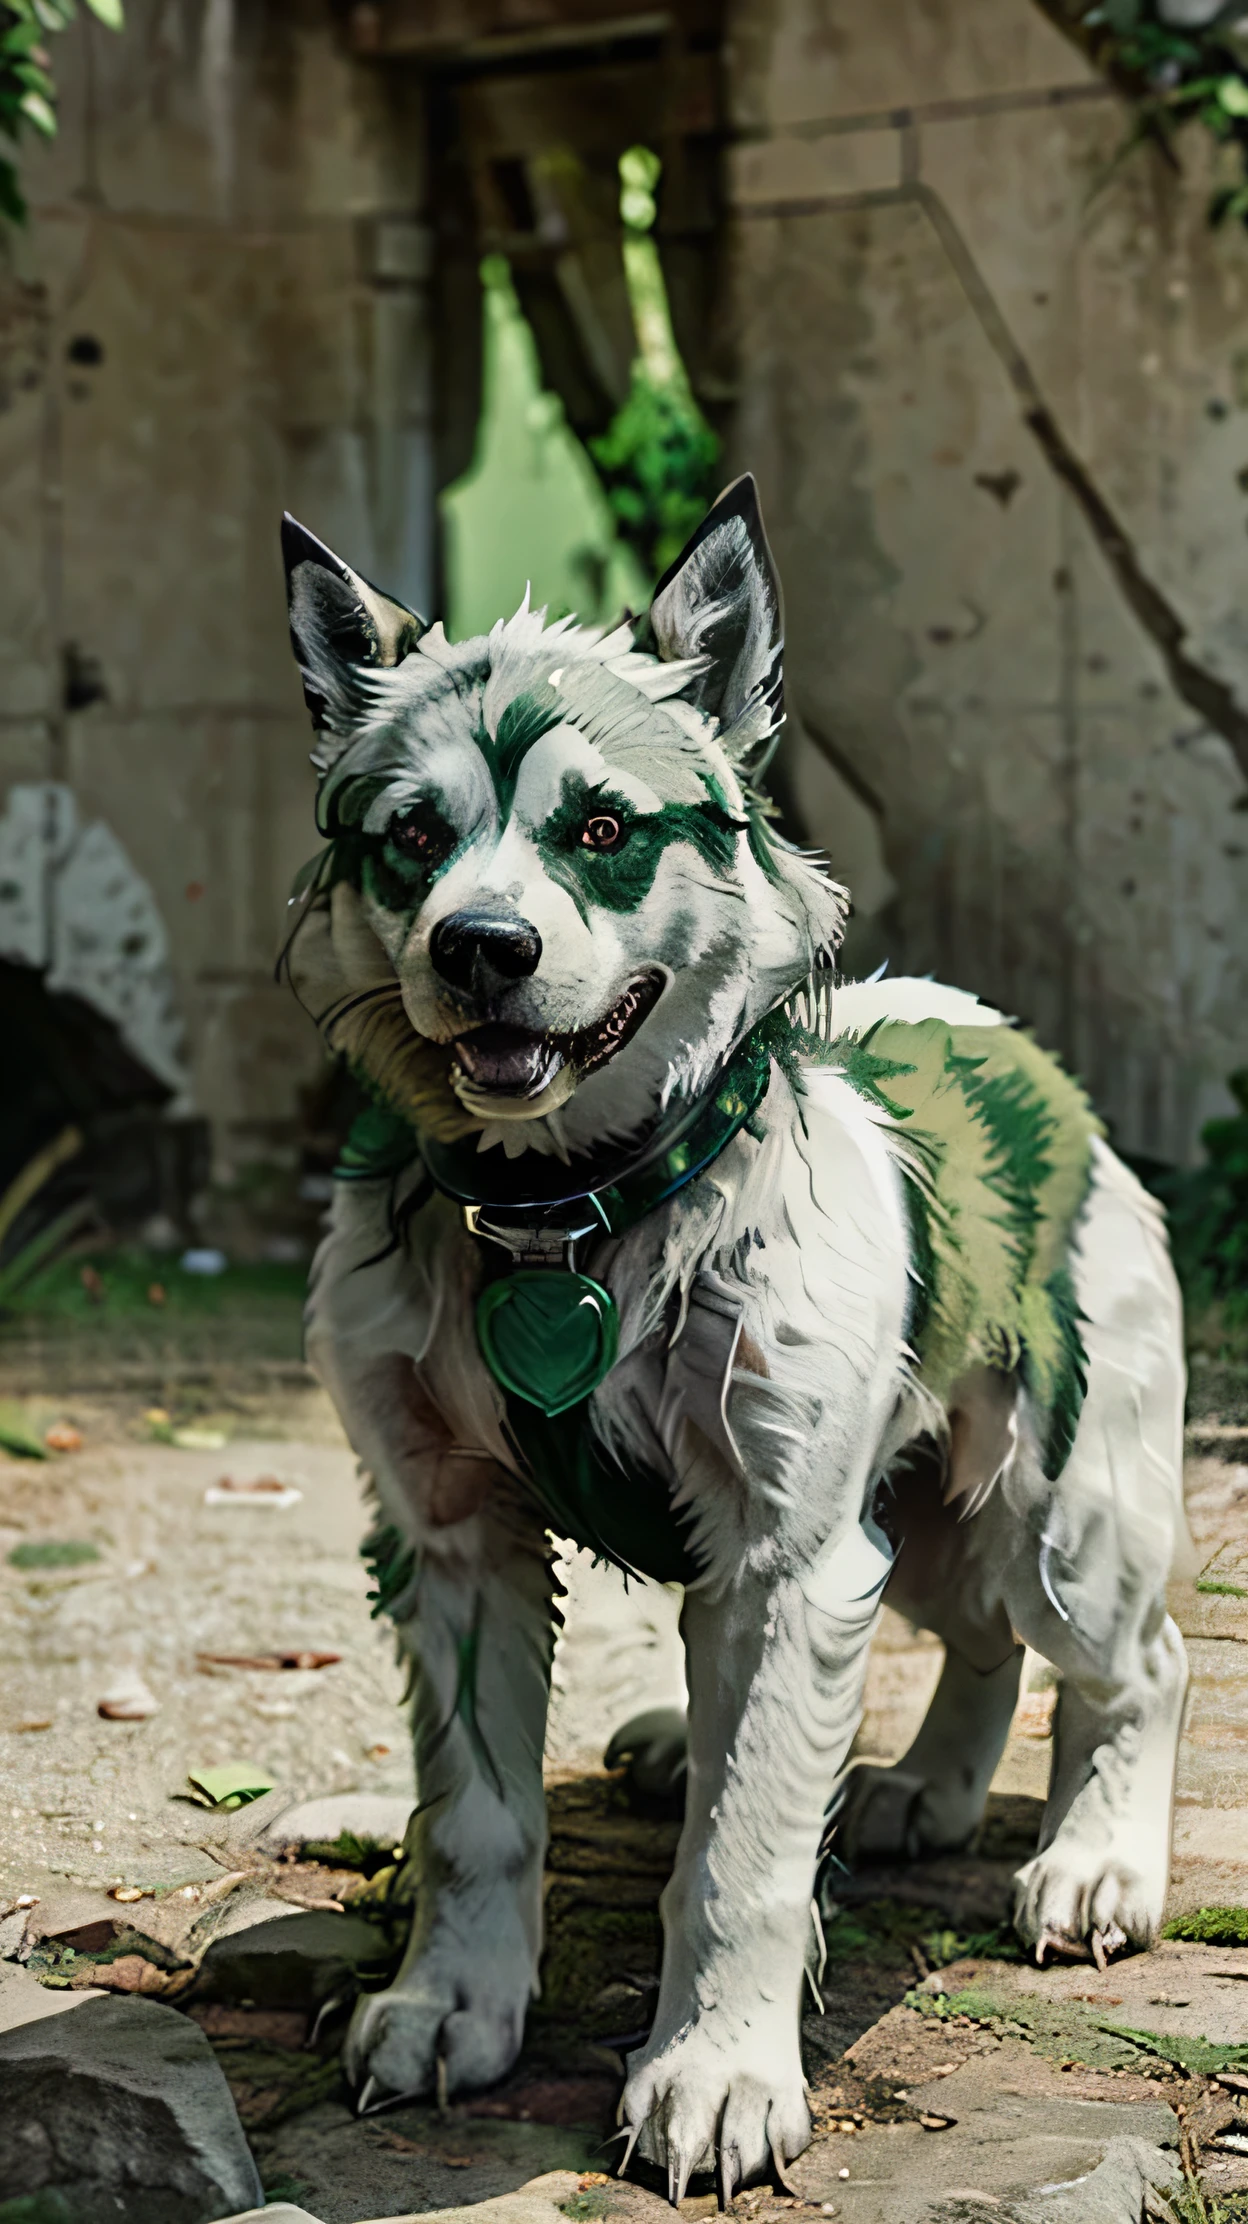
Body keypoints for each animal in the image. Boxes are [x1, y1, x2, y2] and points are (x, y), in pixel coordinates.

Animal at [280, 478, 1183, 2197]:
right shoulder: (447, 1537)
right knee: (975, 1644)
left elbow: (741, 1855)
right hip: (921, 1525)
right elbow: (474, 1818)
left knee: (1136, 1665)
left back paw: (1096, 1863)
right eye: (413, 837)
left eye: (602, 830)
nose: (478, 947)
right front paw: (451, 2005)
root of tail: (1003, 1032)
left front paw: (713, 2075)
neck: (563, 1211)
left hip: (1056, 1515)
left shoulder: (785, 1559)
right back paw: (915, 1789)